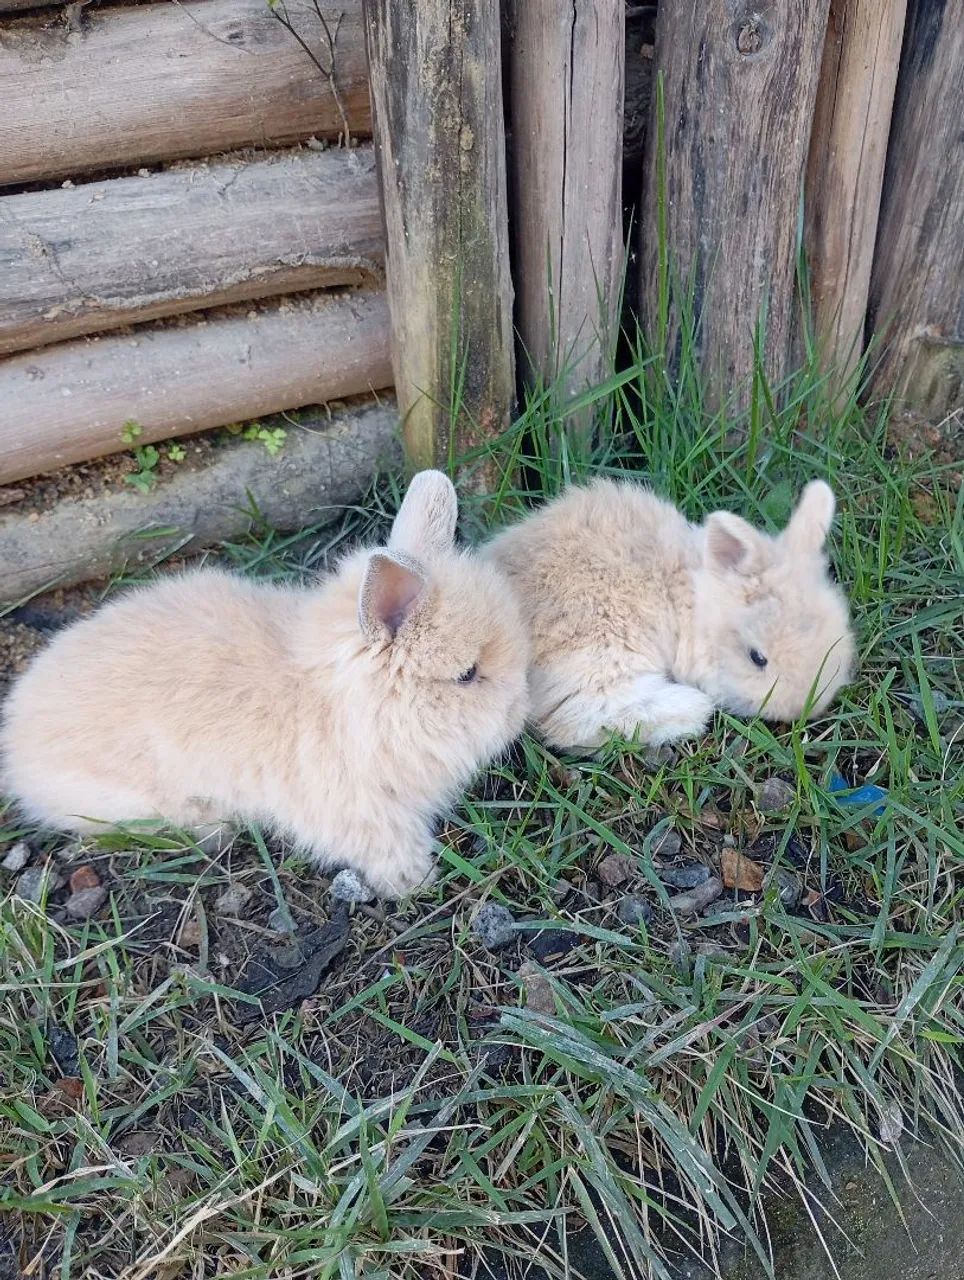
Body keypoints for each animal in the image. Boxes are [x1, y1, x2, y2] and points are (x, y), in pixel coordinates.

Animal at [1, 471, 530, 898]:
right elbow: (386, 848)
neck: (344, 704)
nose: (519, 713)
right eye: (467, 675)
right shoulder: (358, 811)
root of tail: (14, 740)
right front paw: (415, 882)